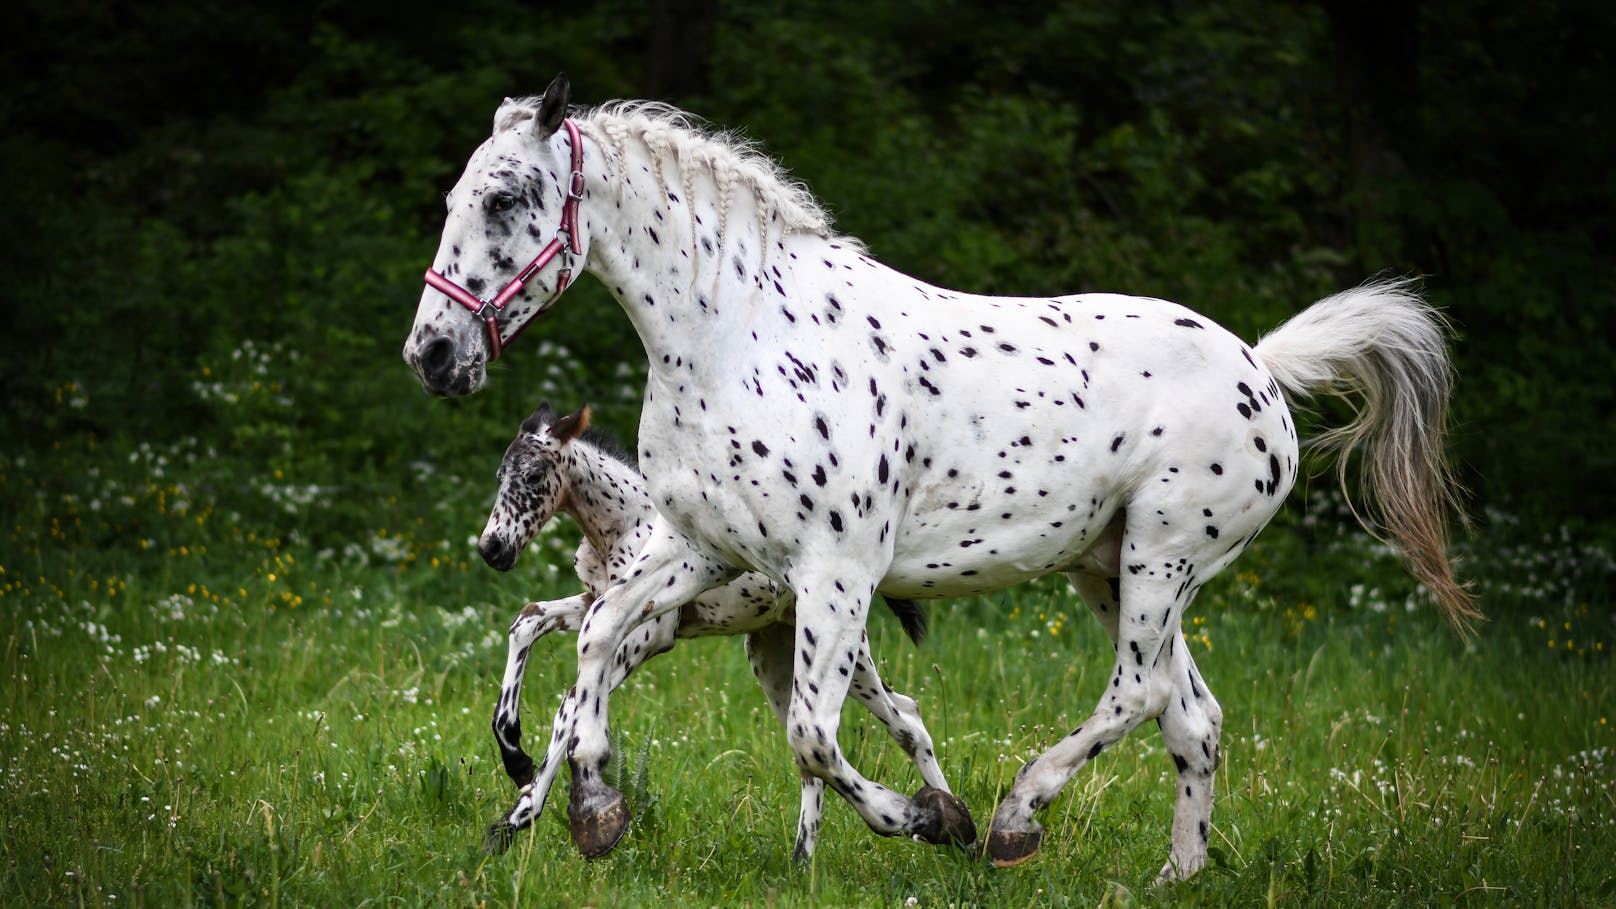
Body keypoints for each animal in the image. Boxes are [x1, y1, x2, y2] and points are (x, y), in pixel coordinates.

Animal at [478, 402, 956, 854]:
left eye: (534, 475)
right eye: (499, 475)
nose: (492, 549)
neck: (624, 523)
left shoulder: (650, 636)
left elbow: (567, 706)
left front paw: (525, 811)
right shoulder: (594, 602)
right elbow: (528, 620)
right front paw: (514, 763)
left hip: (850, 658)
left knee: (907, 721)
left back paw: (948, 829)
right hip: (772, 657)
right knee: (816, 758)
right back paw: (806, 861)